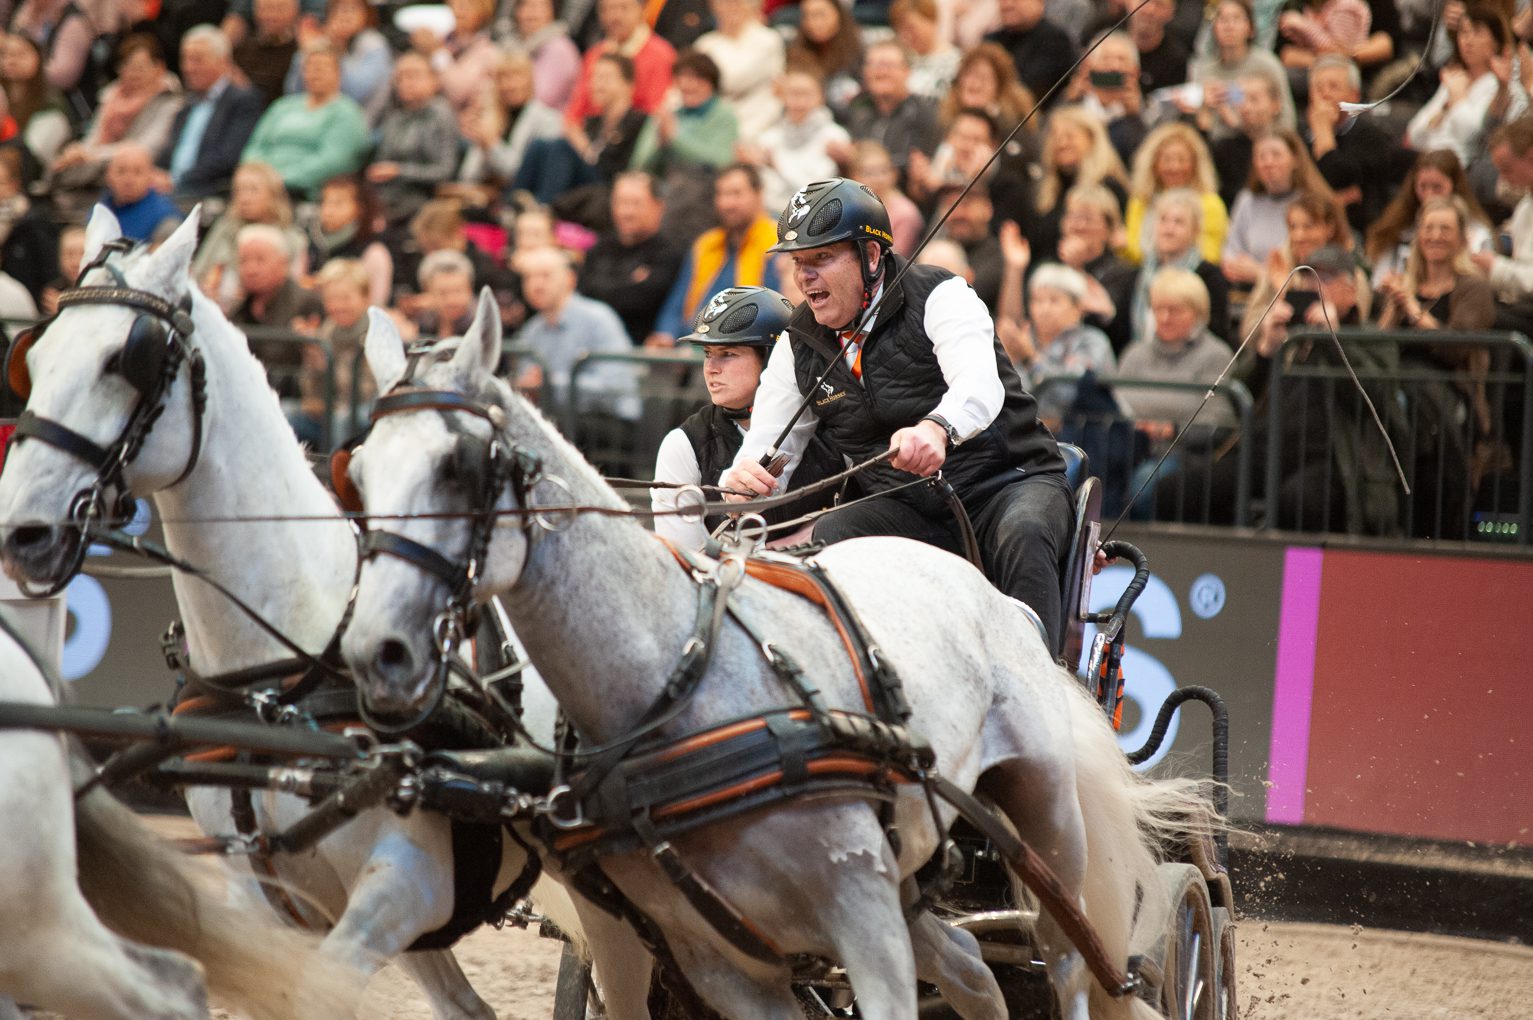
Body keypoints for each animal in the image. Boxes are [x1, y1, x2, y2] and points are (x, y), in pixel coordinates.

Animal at [338, 291, 1217, 1019]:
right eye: (359, 475)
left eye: (456, 466)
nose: (376, 653)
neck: (679, 684)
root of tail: (989, 596)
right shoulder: (712, 952)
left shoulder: (861, 915)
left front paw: (921, 440)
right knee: (973, 968)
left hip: (1043, 821)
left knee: (1075, 963)